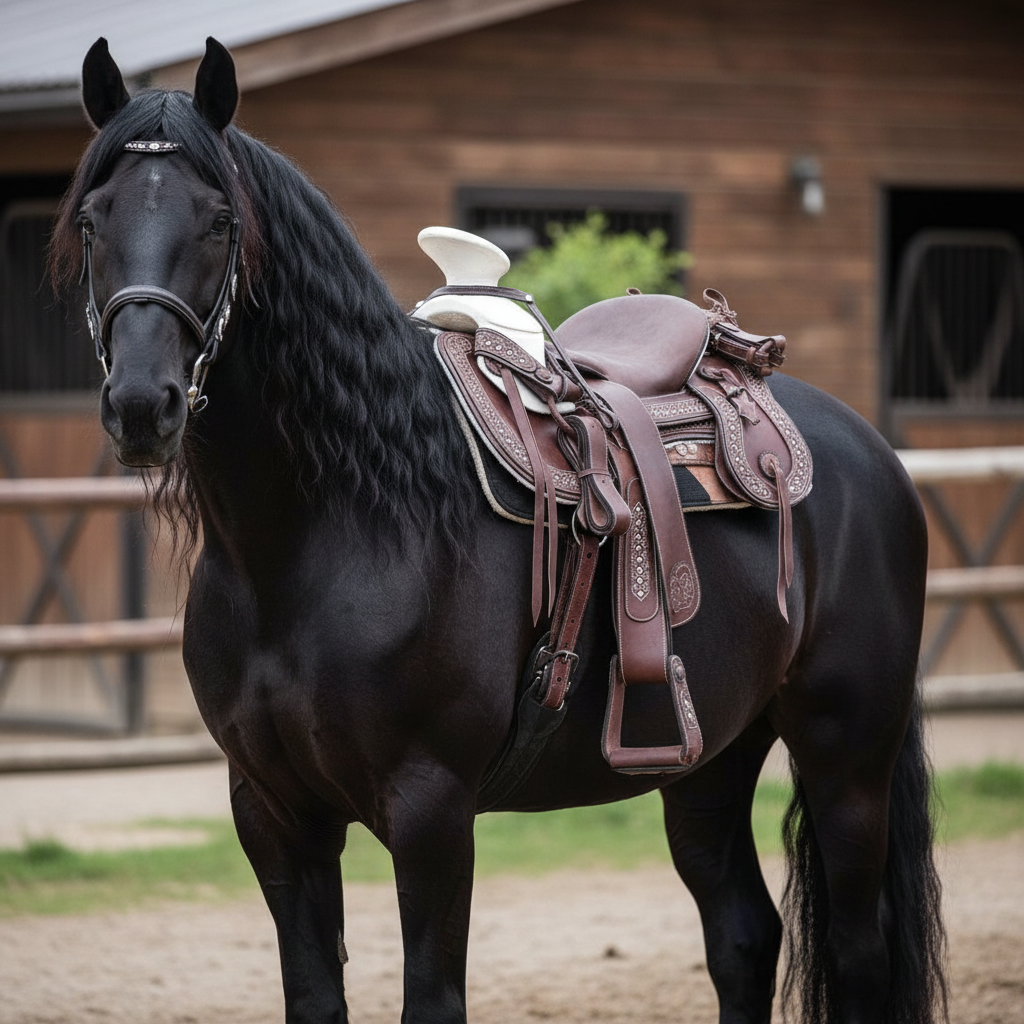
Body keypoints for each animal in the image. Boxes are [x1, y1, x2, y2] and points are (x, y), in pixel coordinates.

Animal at [53, 36, 947, 1024]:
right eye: (90, 220)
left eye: (218, 222)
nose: (143, 405)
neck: (326, 534)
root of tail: (867, 450)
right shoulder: (275, 815)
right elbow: (316, 995)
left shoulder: (432, 811)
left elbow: (433, 999)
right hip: (710, 759)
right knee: (744, 936)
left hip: (845, 753)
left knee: (859, 957)